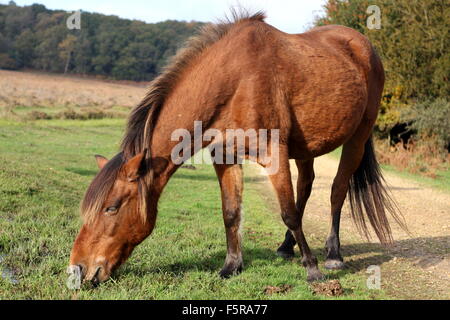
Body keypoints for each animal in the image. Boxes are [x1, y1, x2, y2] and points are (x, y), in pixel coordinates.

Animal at [67, 11, 404, 284]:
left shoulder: (273, 154)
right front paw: (231, 266)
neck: (235, 81)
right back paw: (286, 247)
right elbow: (231, 213)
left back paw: (333, 254)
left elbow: (288, 213)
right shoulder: (225, 157)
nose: (78, 269)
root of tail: (362, 45)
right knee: (306, 187)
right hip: (306, 148)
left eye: (112, 207)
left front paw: (312, 268)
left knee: (337, 190)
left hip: (357, 138)